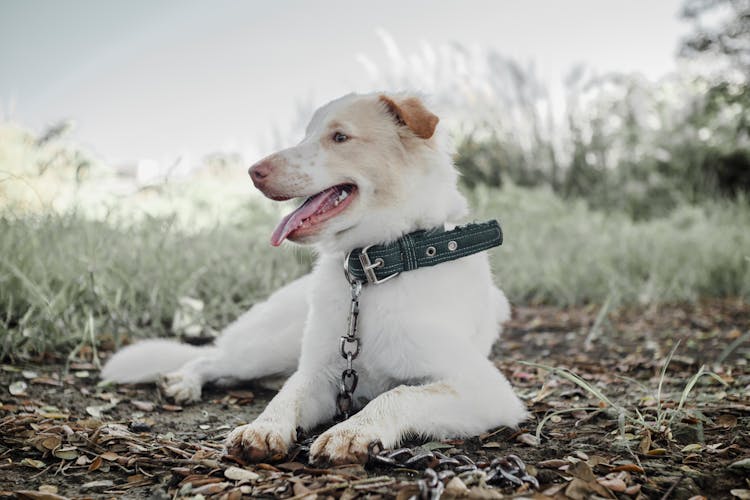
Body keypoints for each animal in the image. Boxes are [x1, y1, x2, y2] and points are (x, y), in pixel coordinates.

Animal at [101, 93, 528, 464]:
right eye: (305, 135)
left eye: (339, 137)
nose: (254, 172)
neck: (372, 273)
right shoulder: (321, 373)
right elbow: (289, 395)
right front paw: (264, 427)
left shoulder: (483, 388)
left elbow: (399, 395)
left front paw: (351, 431)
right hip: (269, 347)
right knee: (211, 358)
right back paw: (184, 381)